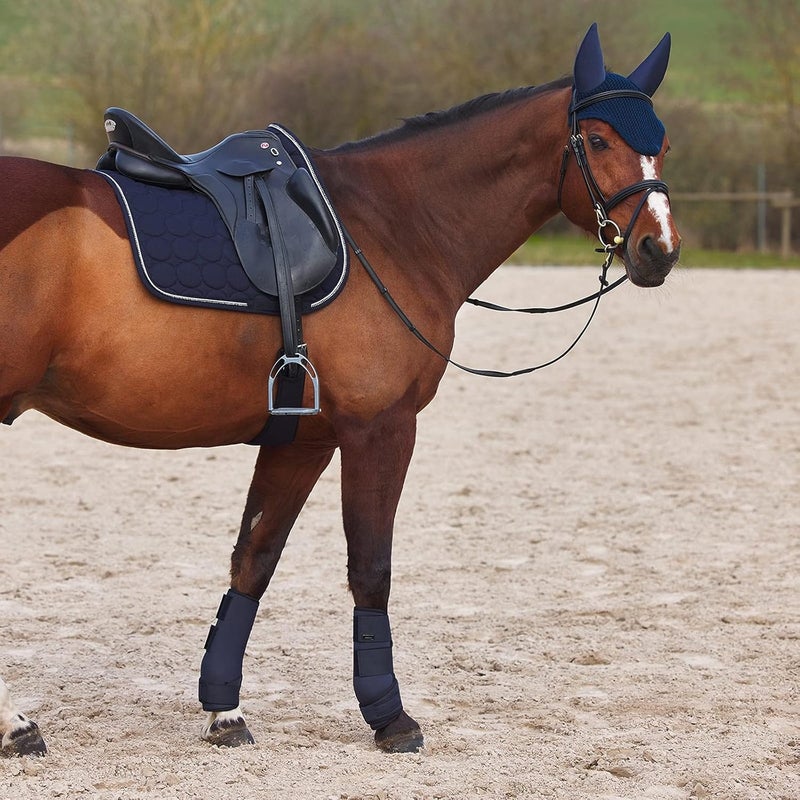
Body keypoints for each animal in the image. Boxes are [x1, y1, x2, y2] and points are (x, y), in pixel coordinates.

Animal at [0, 24, 680, 757]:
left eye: (664, 142)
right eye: (599, 140)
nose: (660, 250)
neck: (391, 226)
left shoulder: (304, 439)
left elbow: (254, 559)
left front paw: (224, 710)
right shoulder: (382, 428)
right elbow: (371, 567)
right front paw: (389, 715)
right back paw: (16, 723)